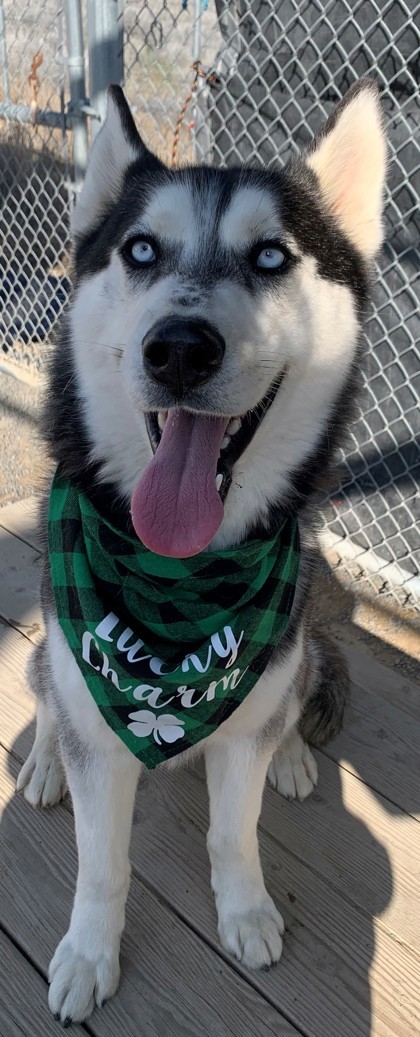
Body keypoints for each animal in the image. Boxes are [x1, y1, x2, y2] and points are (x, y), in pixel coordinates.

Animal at [17, 80, 385, 1020]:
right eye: (141, 249)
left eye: (271, 256)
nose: (179, 348)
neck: (179, 582)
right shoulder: (98, 709)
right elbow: (101, 862)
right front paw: (88, 953)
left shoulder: (252, 705)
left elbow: (233, 828)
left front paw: (246, 910)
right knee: (48, 695)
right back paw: (41, 760)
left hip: (298, 642)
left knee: (292, 689)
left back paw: (292, 751)